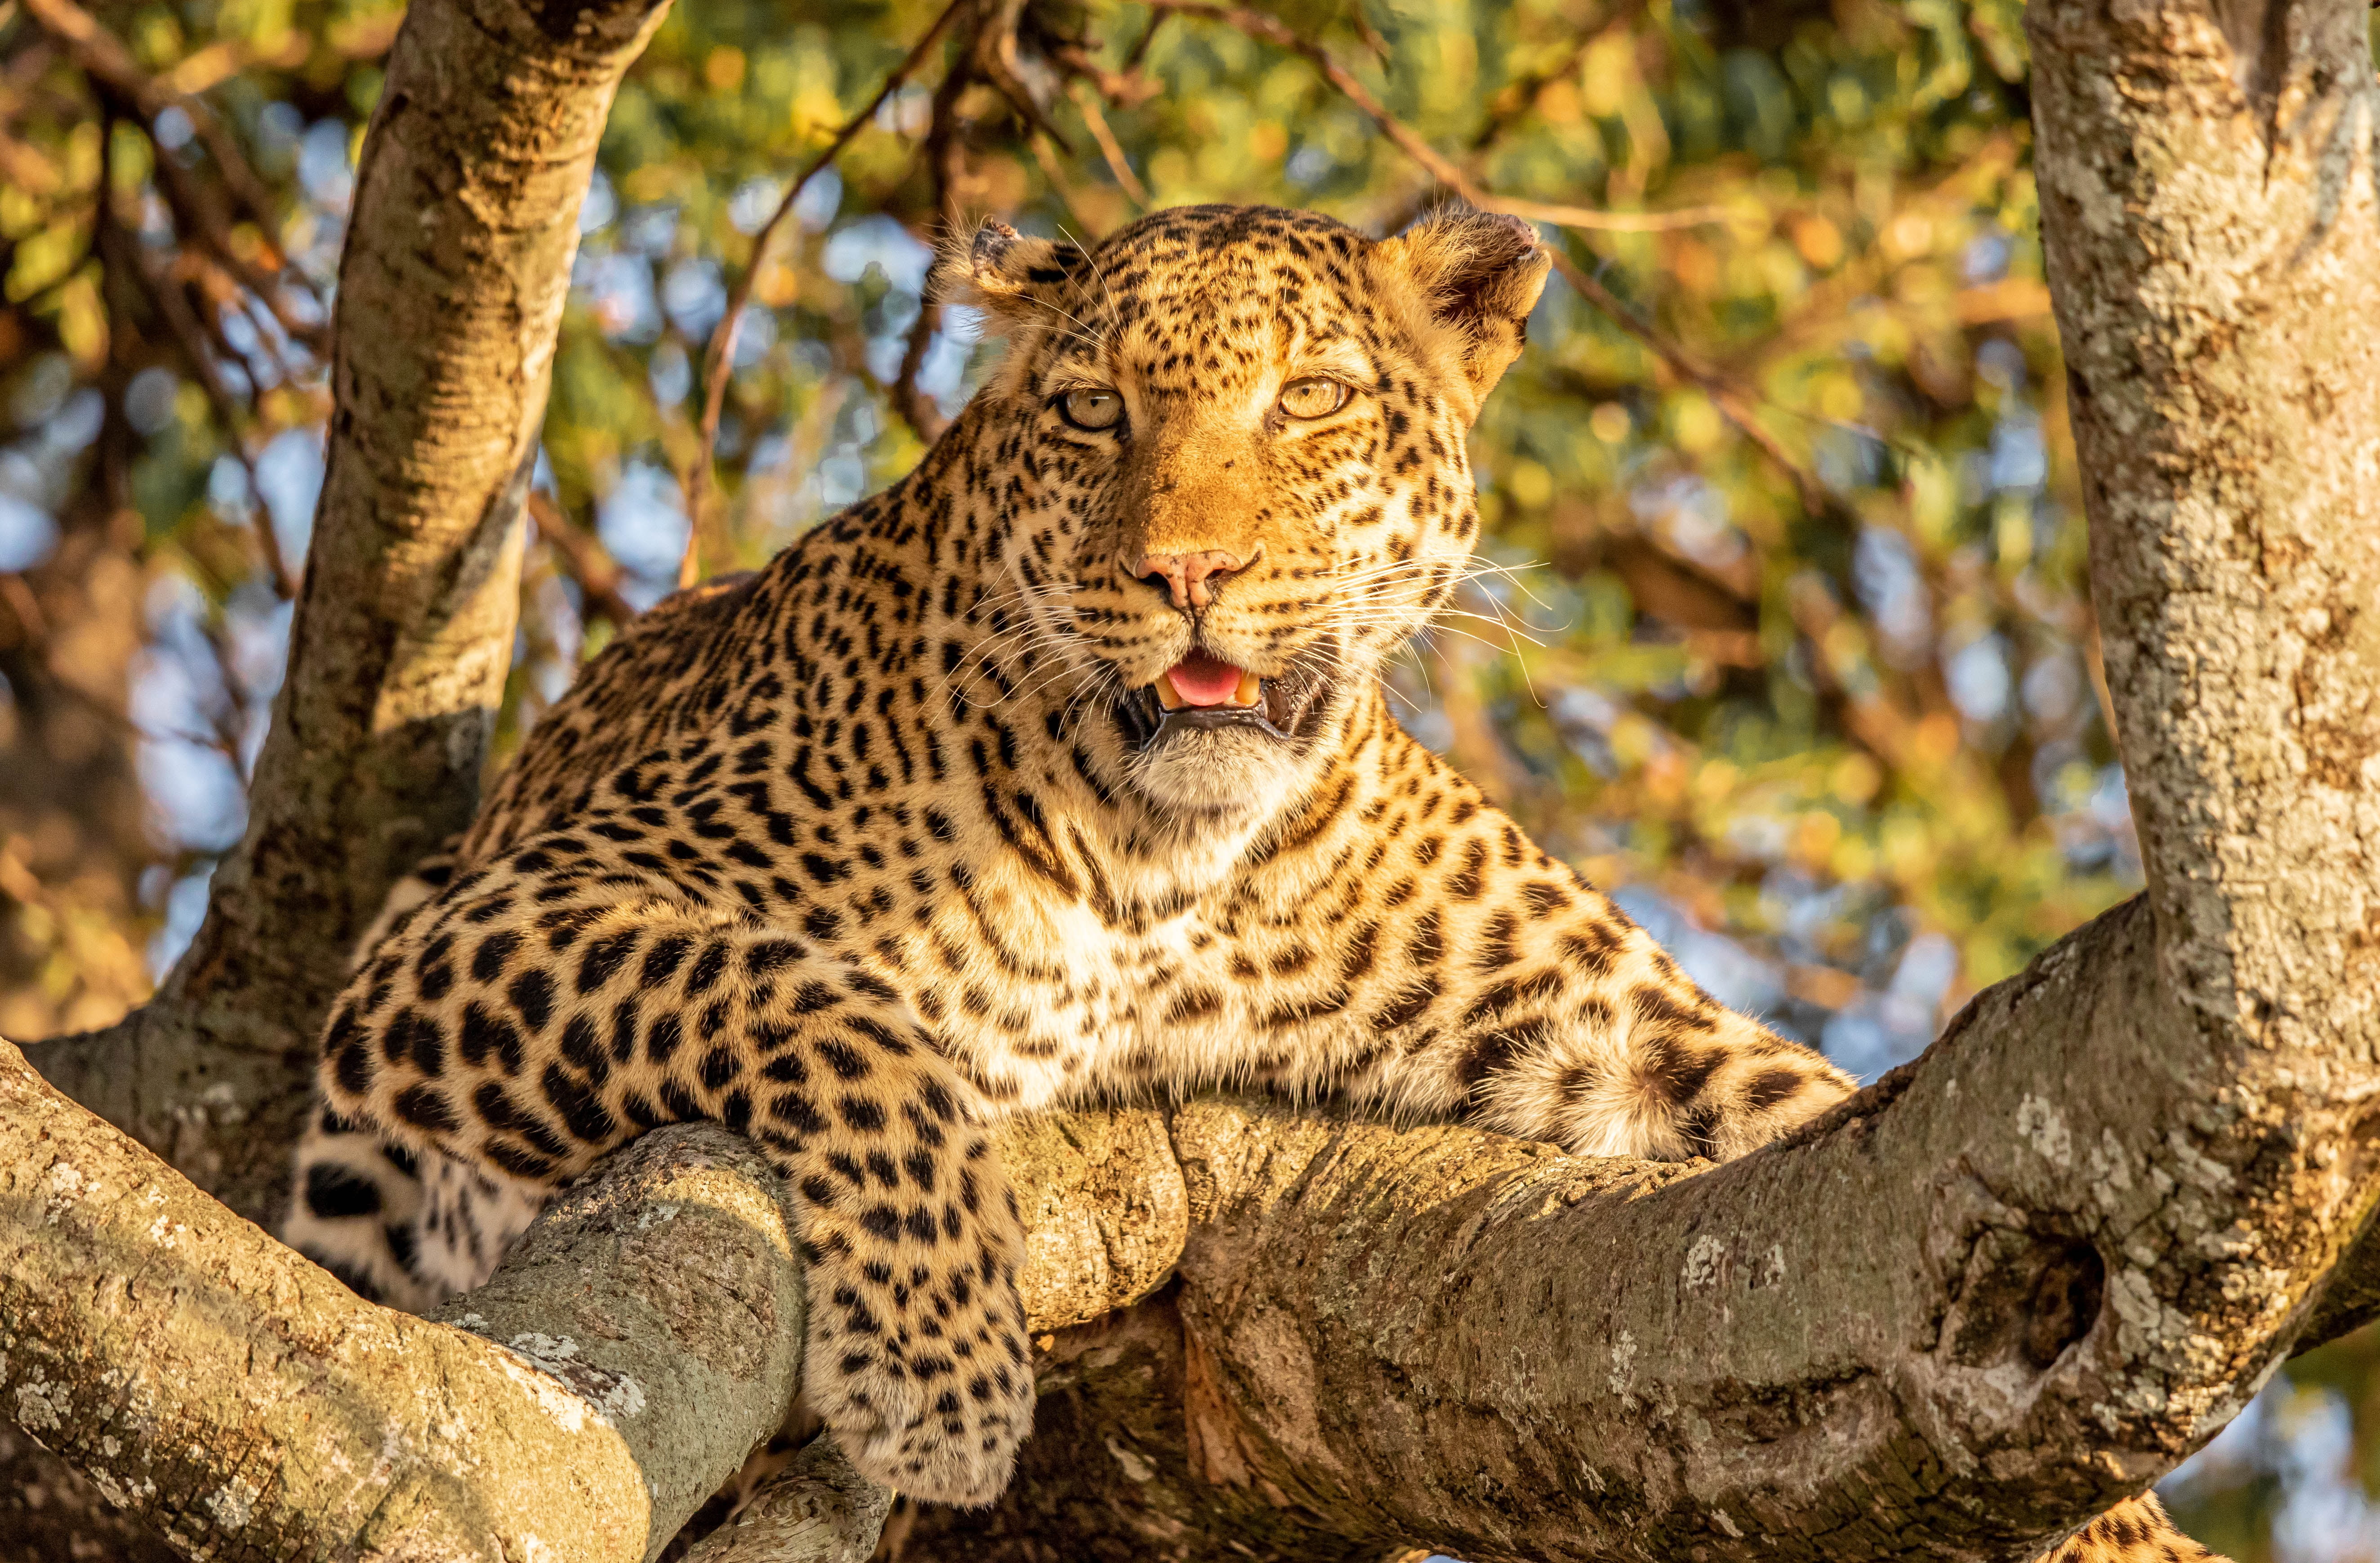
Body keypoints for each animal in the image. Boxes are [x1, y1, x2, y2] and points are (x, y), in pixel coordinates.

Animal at [279, 202, 2223, 1560]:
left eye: (1312, 400)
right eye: (1090, 411)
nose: (1185, 571)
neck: (1164, 854)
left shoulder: (1627, 1032)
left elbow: (1833, 1128)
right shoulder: (487, 915)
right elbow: (832, 1014)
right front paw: (942, 1370)